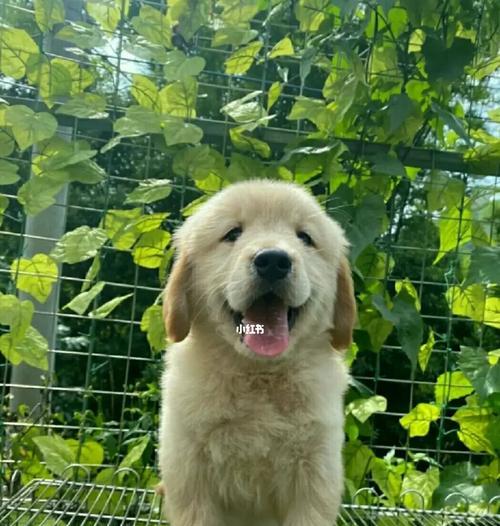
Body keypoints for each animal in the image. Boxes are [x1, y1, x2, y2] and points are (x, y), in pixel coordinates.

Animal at [158, 179, 358, 524]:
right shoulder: (190, 473)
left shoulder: (315, 474)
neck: (259, 374)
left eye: (304, 237)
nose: (274, 260)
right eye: (232, 233)